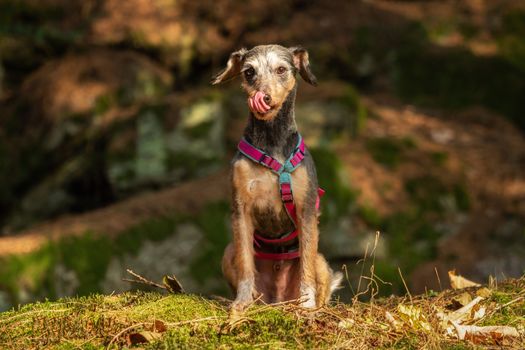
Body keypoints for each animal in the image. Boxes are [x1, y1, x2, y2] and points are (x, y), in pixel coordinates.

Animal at [211, 44, 342, 312]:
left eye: (281, 69)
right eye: (249, 72)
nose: (263, 97)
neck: (272, 142)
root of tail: (279, 299)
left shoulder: (306, 210)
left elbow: (306, 269)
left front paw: (307, 305)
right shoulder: (241, 209)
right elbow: (245, 266)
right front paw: (241, 303)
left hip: (322, 262)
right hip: (228, 253)